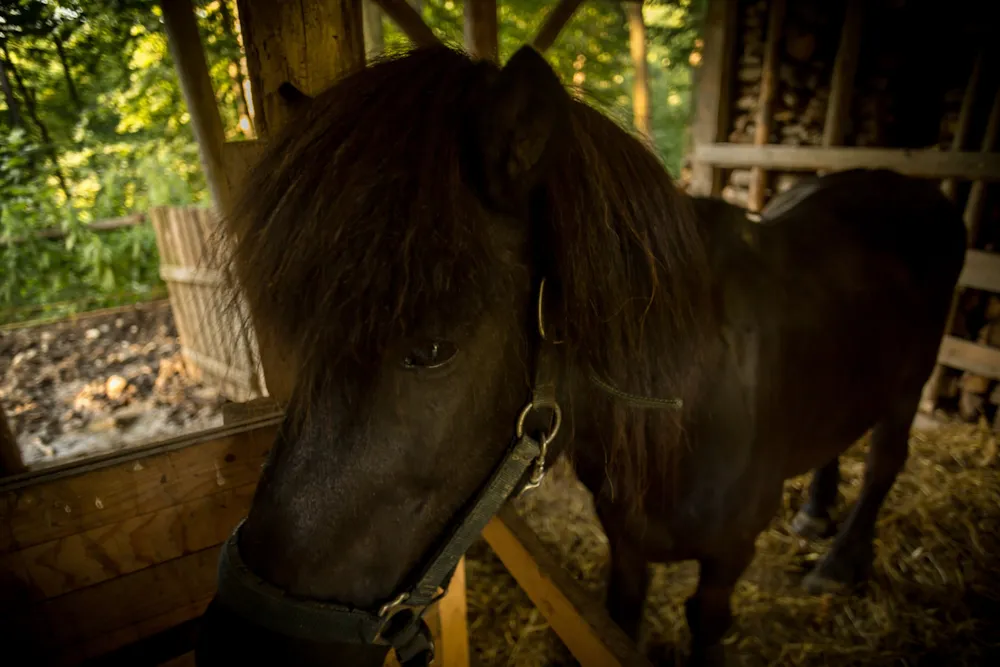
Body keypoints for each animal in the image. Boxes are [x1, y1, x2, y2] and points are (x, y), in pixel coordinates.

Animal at [195, 47, 968, 667]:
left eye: (431, 349)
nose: (240, 645)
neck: (692, 401)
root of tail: (912, 188)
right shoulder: (624, 540)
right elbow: (621, 615)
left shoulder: (727, 560)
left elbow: (706, 622)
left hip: (910, 385)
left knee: (884, 462)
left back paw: (838, 561)